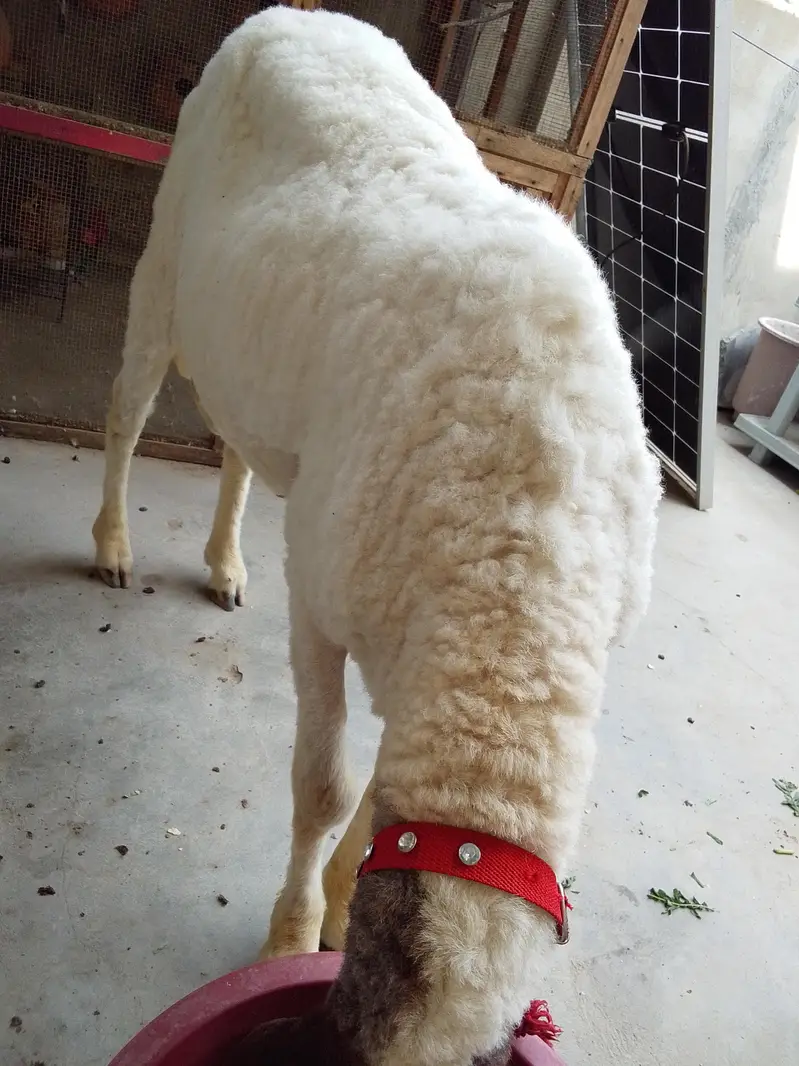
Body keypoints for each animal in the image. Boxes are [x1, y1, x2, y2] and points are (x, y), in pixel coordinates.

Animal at [91, 7, 661, 1065]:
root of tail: (294, 16)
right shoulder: (323, 612)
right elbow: (324, 786)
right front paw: (288, 936)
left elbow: (371, 798)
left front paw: (334, 892)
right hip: (163, 260)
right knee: (126, 410)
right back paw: (110, 543)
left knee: (236, 445)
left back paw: (224, 563)